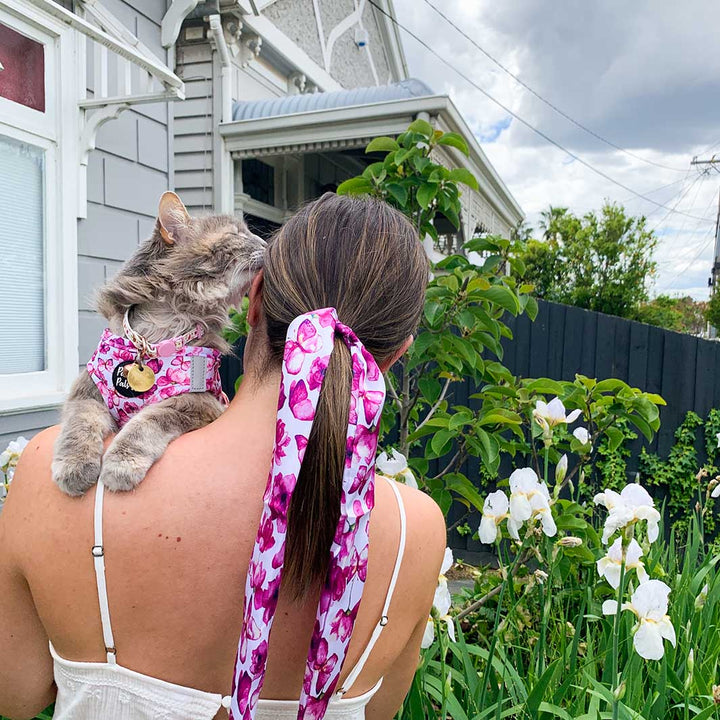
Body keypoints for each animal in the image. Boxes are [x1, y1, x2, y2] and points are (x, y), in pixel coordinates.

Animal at [53, 191, 266, 496]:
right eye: (236, 234)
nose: (266, 244)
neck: (156, 336)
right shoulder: (86, 392)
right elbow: (78, 427)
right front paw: (75, 467)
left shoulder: (197, 402)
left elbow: (146, 422)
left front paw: (121, 464)